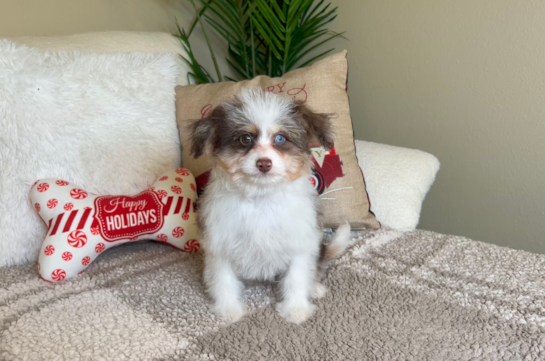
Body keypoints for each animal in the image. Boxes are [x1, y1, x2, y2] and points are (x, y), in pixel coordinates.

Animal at [188, 88, 348, 324]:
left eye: (280, 138)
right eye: (245, 138)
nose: (264, 163)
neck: (260, 199)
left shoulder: (299, 244)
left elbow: (296, 278)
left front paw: (296, 310)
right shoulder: (220, 244)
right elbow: (224, 280)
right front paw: (229, 310)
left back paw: (314, 288)